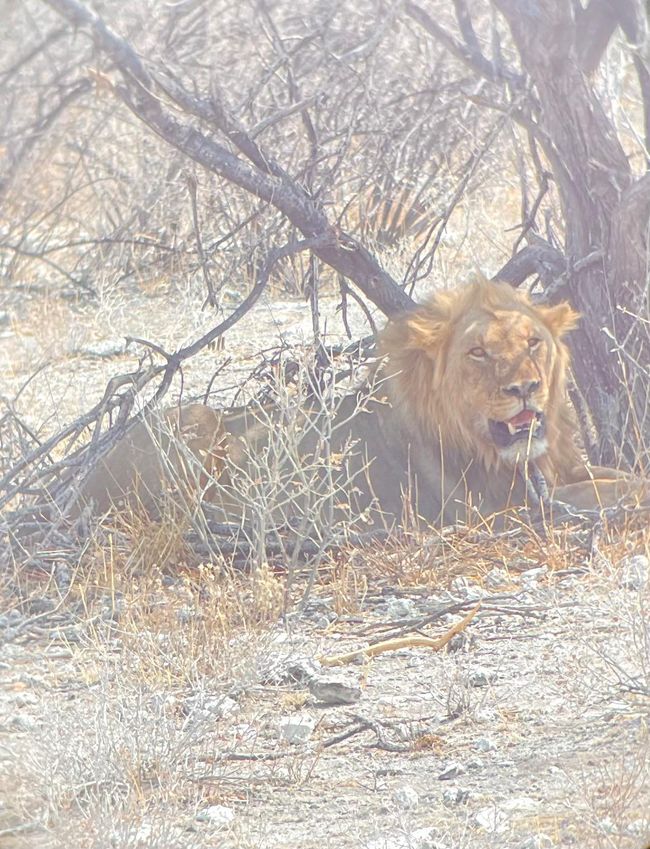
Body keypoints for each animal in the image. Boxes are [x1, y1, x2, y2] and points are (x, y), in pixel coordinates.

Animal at [74, 278, 644, 528]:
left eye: (533, 343)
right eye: (478, 352)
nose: (525, 388)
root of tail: (85, 479)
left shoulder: (565, 474)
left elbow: (628, 479)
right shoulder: (505, 510)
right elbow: (624, 495)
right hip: (192, 424)